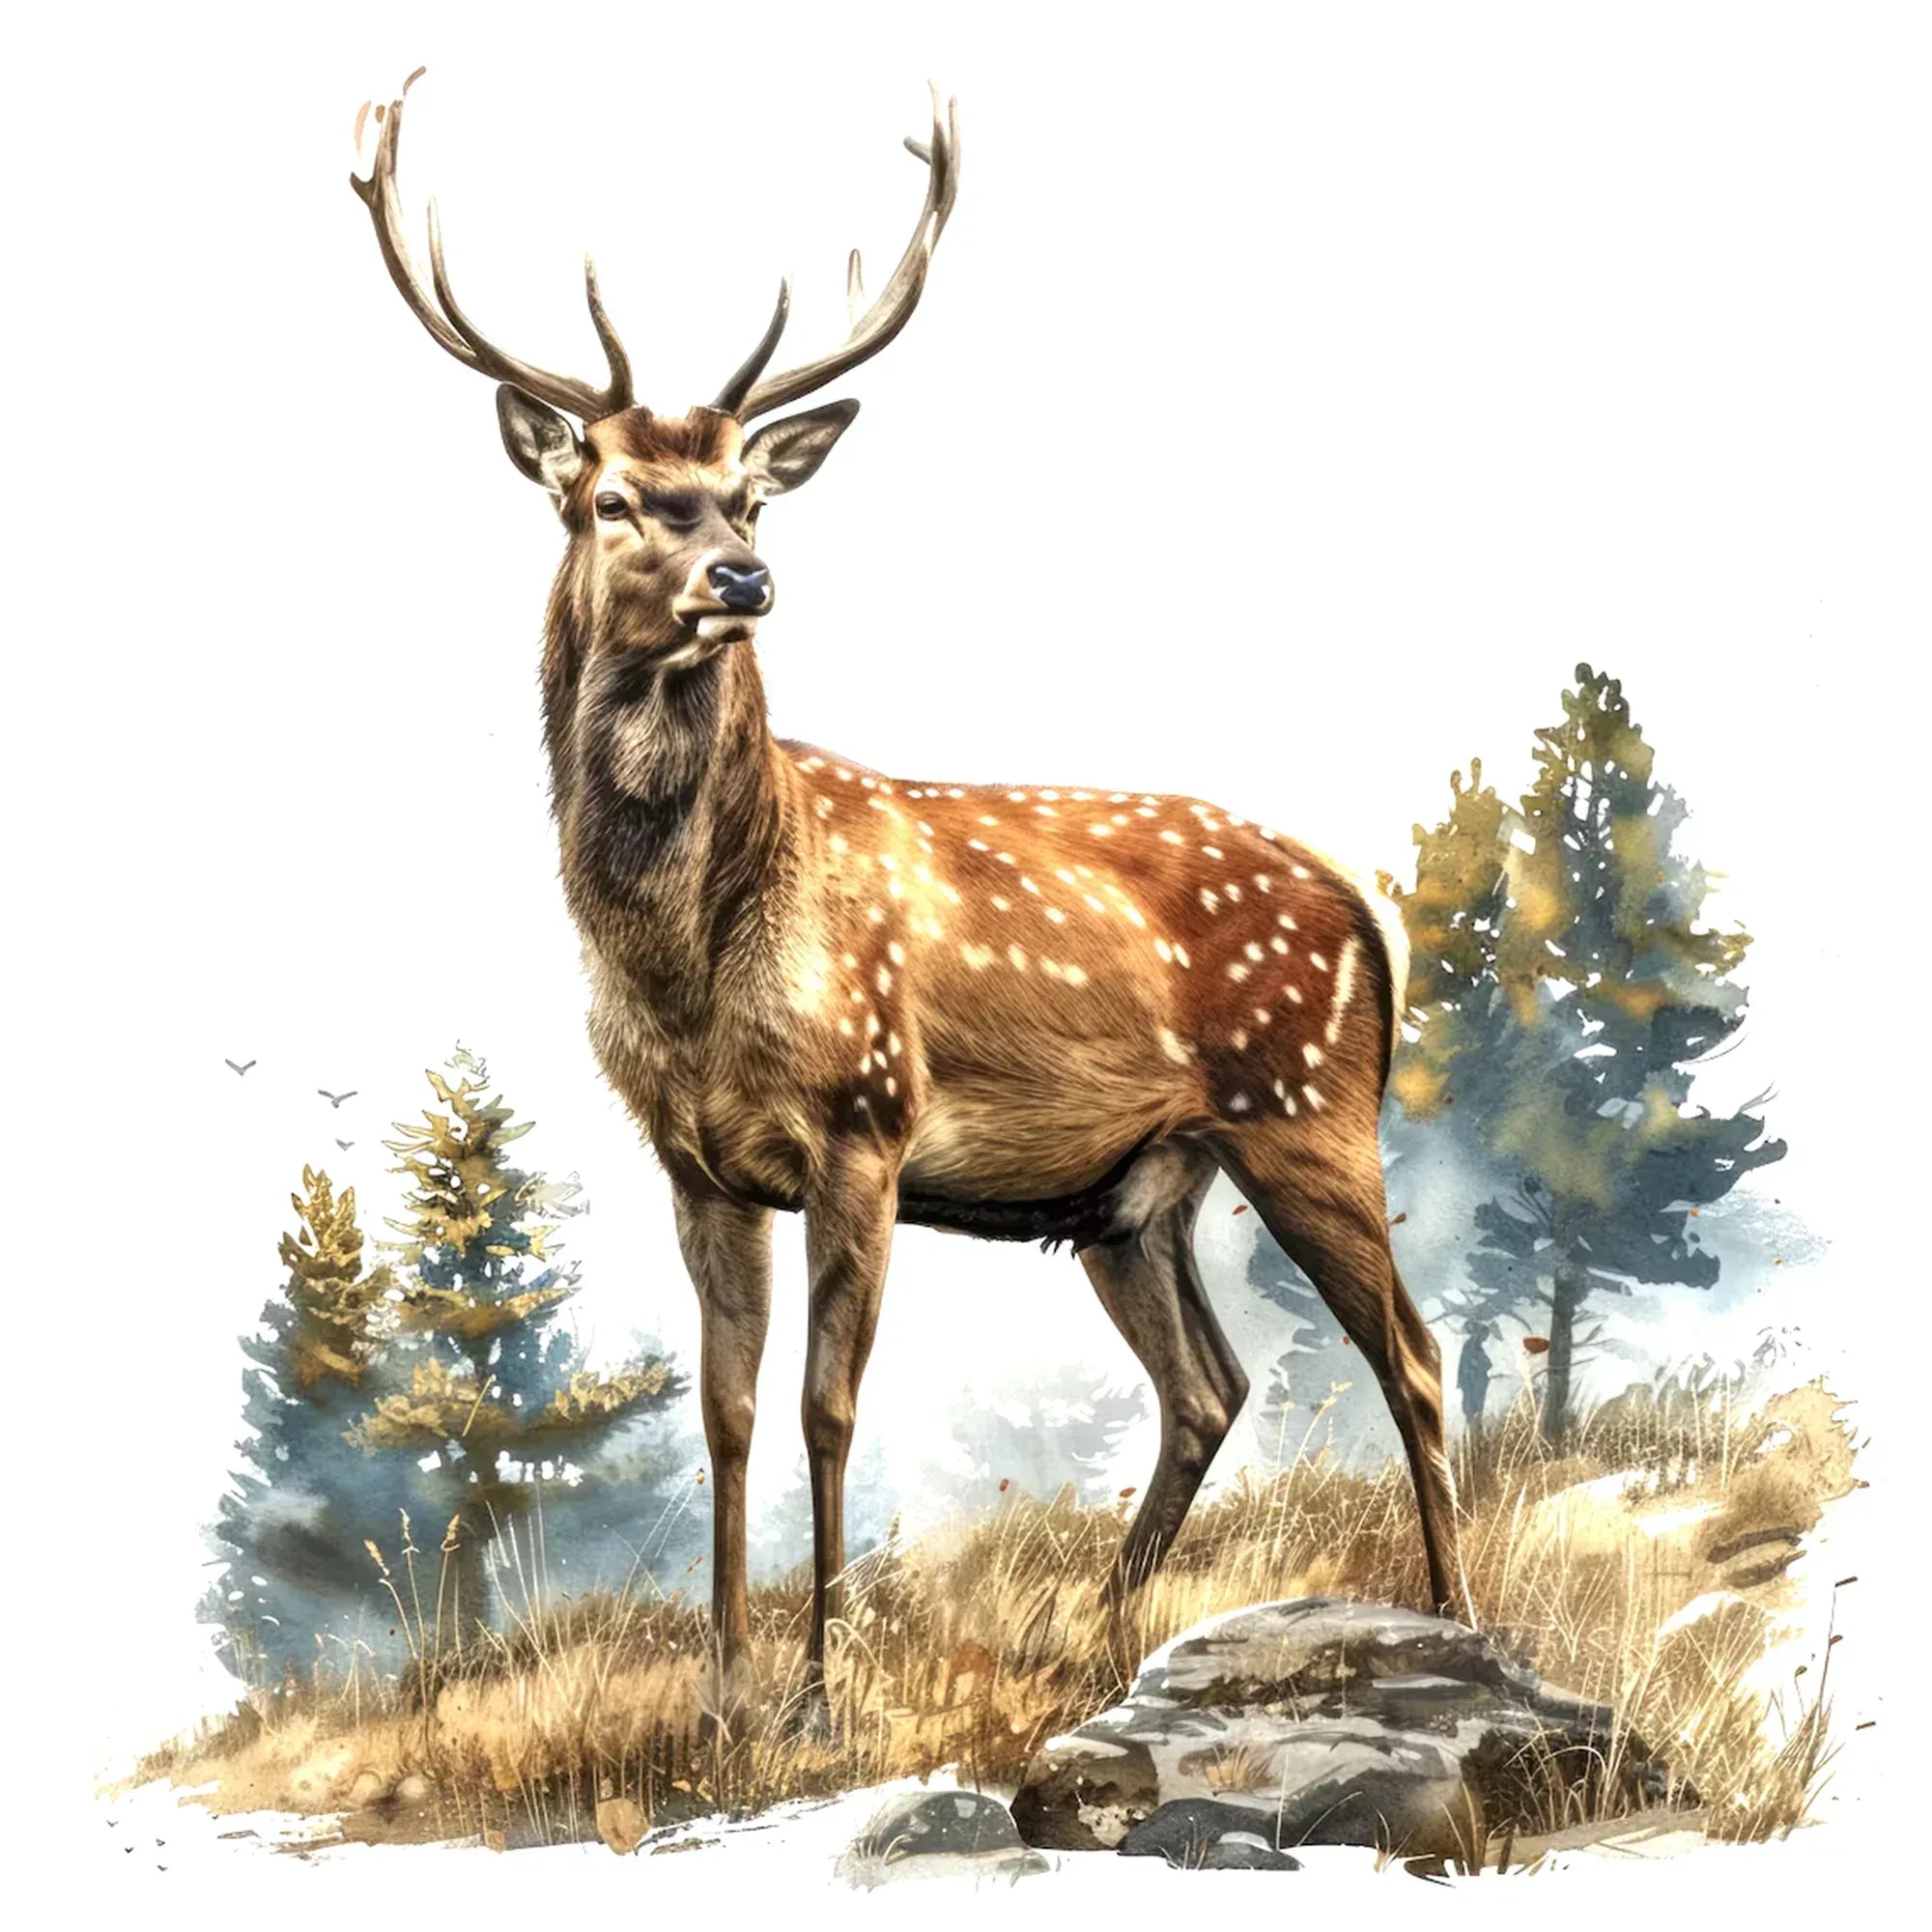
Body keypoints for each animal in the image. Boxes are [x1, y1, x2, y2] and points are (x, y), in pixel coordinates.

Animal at [351, 74, 1463, 1730]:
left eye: (748, 494)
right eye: (612, 499)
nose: (742, 579)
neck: (692, 964)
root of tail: (1364, 914)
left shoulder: (864, 1124)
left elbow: (827, 1406)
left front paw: (819, 1694)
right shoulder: (693, 1162)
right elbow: (728, 1411)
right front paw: (721, 1692)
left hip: (1307, 1111)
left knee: (1417, 1355)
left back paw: (1461, 1623)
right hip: (1138, 1193)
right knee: (1208, 1386)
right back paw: (1105, 1636)